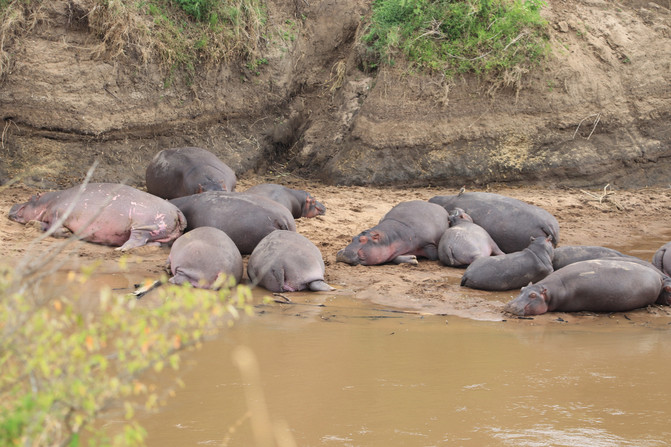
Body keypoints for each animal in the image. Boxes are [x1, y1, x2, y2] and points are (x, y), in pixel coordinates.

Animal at [7, 183, 186, 252]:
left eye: (30, 197)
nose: (13, 205)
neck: (48, 201)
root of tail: (177, 210)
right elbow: (46, 225)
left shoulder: (58, 212)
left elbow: (54, 227)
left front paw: (66, 233)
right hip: (154, 233)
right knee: (152, 243)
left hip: (143, 225)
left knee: (137, 238)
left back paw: (120, 249)